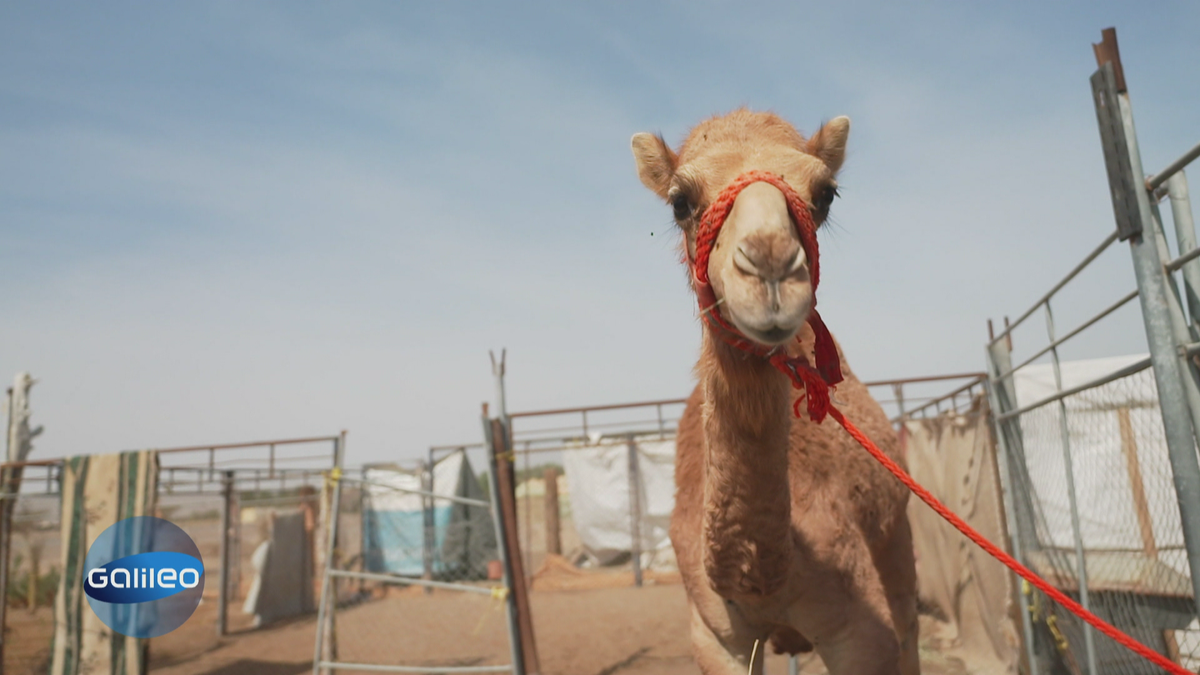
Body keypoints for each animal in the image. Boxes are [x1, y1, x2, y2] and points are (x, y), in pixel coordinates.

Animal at [628, 107, 916, 667]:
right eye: (680, 201)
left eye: (825, 194)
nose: (770, 266)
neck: (761, 574)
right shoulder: (714, 636)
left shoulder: (860, 633)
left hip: (898, 542)